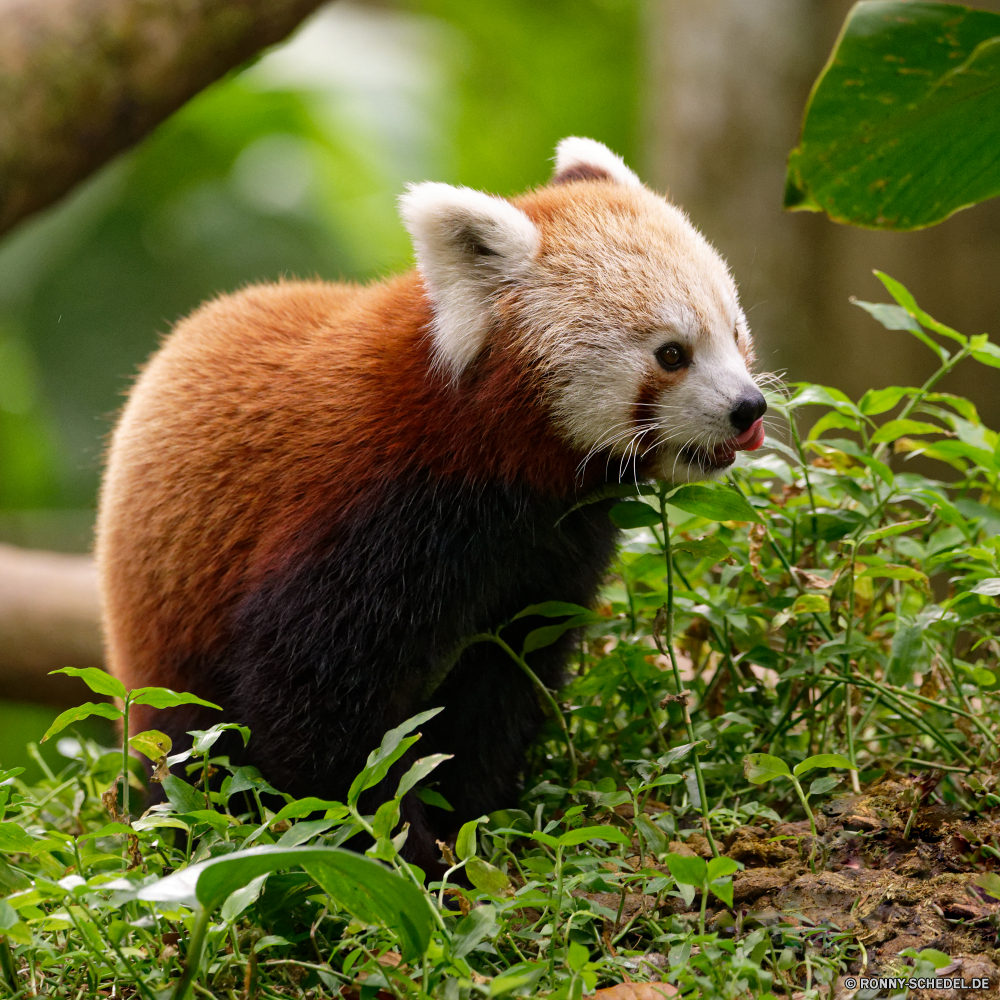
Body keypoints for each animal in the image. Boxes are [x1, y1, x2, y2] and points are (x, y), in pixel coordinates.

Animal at [95, 137, 764, 864]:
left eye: (735, 331)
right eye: (672, 354)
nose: (748, 408)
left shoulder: (552, 548)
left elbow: (504, 682)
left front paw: (480, 823)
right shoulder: (373, 510)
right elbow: (314, 708)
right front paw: (406, 853)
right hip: (167, 638)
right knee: (190, 741)